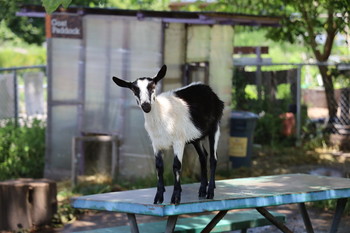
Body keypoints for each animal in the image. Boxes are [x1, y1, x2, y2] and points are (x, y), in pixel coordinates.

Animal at [113, 65, 226, 204]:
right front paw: (158, 197)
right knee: (203, 156)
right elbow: (159, 167)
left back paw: (210, 192)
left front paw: (175, 197)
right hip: (196, 136)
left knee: (213, 158)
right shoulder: (156, 143)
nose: (146, 106)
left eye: (152, 86)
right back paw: (202, 190)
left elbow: (176, 166)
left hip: (215, 126)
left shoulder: (178, 141)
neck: (162, 114)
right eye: (134, 89)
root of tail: (208, 89)